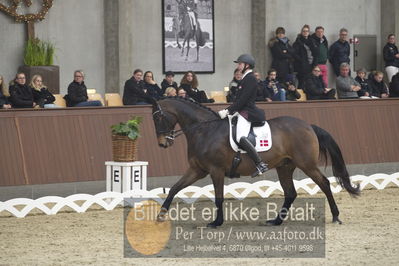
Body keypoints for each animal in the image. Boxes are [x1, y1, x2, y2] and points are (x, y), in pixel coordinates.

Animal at [152, 97, 360, 229]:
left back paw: (335, 216)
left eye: (158, 117)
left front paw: (216, 223)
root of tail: (309, 126)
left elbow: (218, 197)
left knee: (324, 183)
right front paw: (160, 216)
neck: (204, 131)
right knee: (290, 193)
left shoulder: (215, 170)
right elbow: (174, 188)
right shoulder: (197, 170)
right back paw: (275, 221)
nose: (162, 144)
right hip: (285, 167)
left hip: (306, 164)